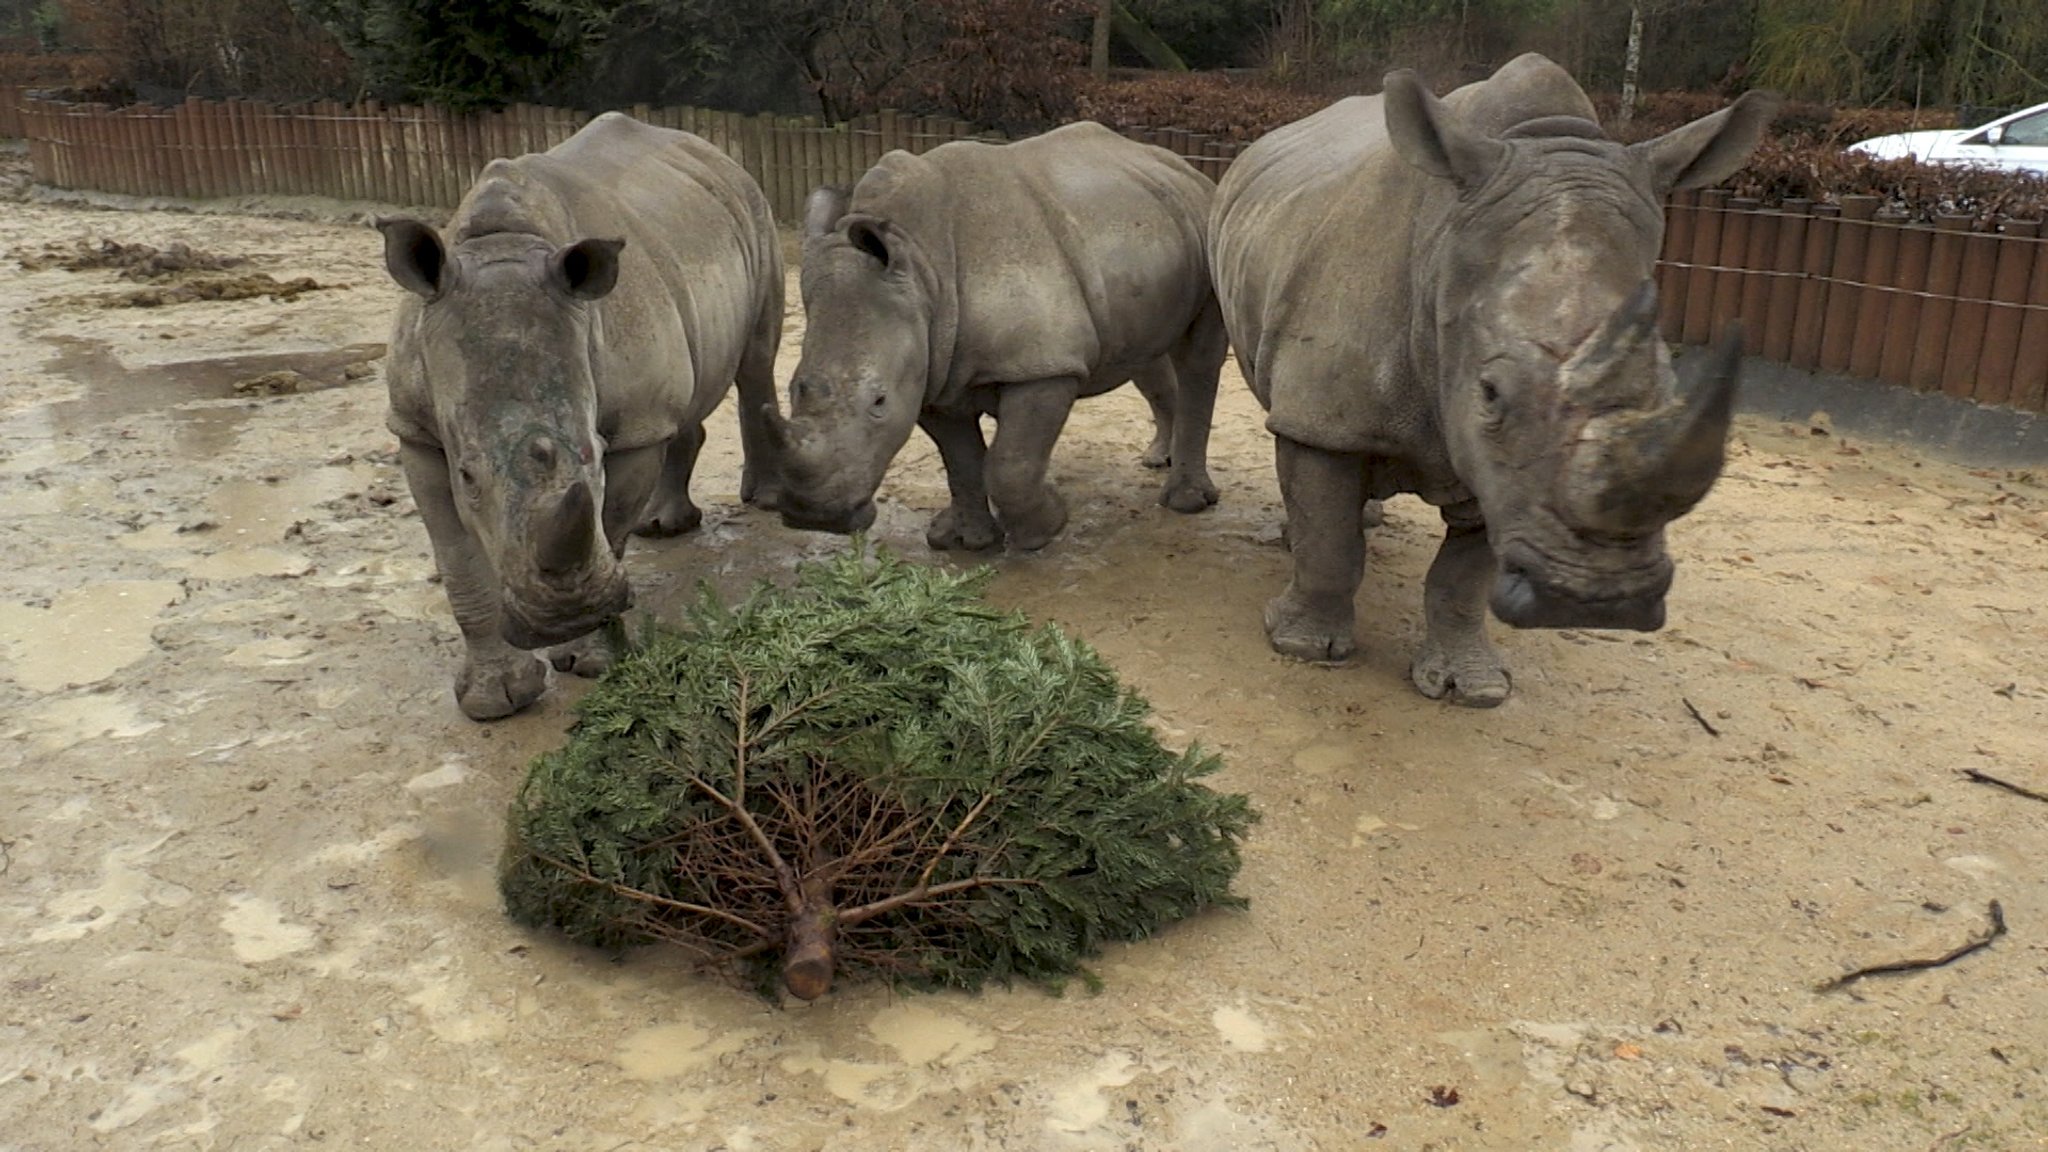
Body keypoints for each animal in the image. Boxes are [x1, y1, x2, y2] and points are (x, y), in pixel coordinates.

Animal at [376, 109, 782, 717]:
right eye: (467, 475)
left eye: (594, 452)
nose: (558, 619)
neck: (503, 247)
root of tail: (712, 151)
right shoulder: (416, 429)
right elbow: (459, 564)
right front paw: (494, 700)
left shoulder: (631, 430)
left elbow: (607, 526)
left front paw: (591, 661)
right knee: (683, 402)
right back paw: (662, 527)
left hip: (755, 212)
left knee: (755, 359)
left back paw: (762, 500)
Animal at [765, 118, 1212, 549]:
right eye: (794, 388)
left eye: (879, 401)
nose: (814, 516)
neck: (924, 269)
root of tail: (1182, 166)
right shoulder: (933, 372)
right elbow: (961, 462)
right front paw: (967, 541)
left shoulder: (1043, 367)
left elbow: (1010, 465)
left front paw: (1046, 528)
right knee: (1146, 358)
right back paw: (1157, 458)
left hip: (1200, 224)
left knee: (1197, 357)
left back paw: (1185, 501)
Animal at [1212, 53, 1777, 705]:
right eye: (1490, 394)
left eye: (1668, 394)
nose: (1597, 603)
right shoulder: (1324, 413)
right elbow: (1329, 543)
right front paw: (1302, 647)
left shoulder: (1506, 476)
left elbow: (1464, 577)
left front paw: (1472, 688)